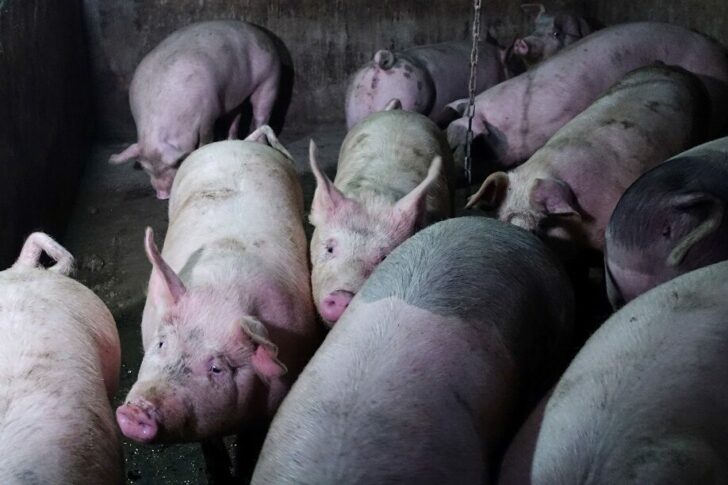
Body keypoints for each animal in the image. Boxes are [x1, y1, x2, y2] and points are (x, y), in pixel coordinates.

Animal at [109, 20, 282, 200]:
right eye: (145, 168)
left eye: (176, 163)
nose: (162, 195)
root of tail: (261, 34)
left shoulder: (209, 110)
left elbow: (206, 136)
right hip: (235, 94)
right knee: (236, 114)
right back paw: (230, 140)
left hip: (270, 78)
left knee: (261, 114)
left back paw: (262, 144)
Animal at [115, 127, 318, 480]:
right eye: (161, 343)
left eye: (217, 368)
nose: (137, 412)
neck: (220, 291)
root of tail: (242, 142)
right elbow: (209, 444)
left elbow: (251, 443)